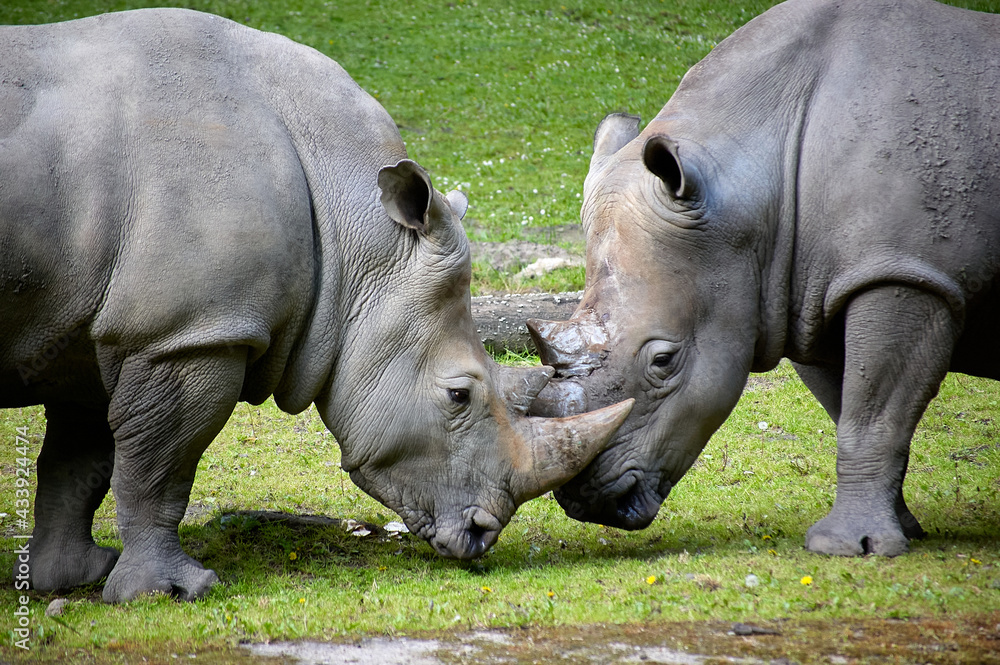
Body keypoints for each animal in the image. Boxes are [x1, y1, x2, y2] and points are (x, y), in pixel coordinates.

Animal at [0, 8, 632, 603]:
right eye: (459, 395)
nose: (482, 533)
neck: (354, 227)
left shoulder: (97, 330)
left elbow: (79, 464)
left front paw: (69, 577)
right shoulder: (186, 333)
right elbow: (159, 467)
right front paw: (173, 592)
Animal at [528, 0, 999, 556]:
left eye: (664, 362)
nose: (585, 503)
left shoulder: (905, 272)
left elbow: (874, 414)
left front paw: (848, 548)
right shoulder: (810, 290)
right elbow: (850, 407)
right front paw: (898, 532)